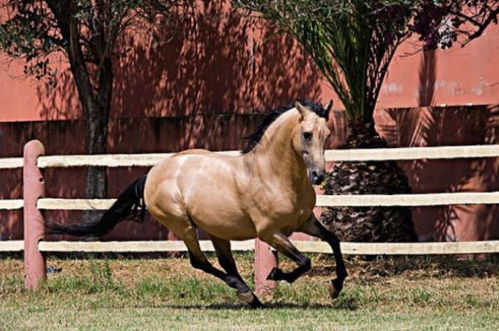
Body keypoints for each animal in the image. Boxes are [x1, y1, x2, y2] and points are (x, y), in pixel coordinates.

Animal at [49, 100, 348, 308]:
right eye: (307, 134)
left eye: (326, 133)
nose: (318, 176)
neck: (271, 174)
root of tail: (152, 174)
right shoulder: (269, 232)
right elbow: (305, 261)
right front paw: (276, 274)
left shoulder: (306, 221)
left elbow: (333, 241)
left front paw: (335, 286)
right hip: (182, 225)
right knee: (199, 261)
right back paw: (245, 293)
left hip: (217, 230)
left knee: (226, 263)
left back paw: (250, 297)